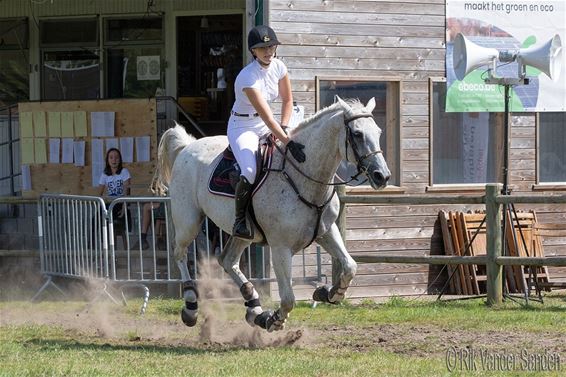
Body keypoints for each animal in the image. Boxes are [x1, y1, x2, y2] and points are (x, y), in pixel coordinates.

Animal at [153, 95, 392, 330]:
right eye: (358, 134)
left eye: (379, 132)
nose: (382, 176)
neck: (304, 177)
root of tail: (188, 146)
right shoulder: (280, 247)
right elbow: (288, 299)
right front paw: (274, 319)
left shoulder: (326, 232)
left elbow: (350, 266)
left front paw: (329, 292)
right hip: (188, 221)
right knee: (180, 253)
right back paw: (191, 305)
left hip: (242, 233)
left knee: (227, 260)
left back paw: (253, 306)